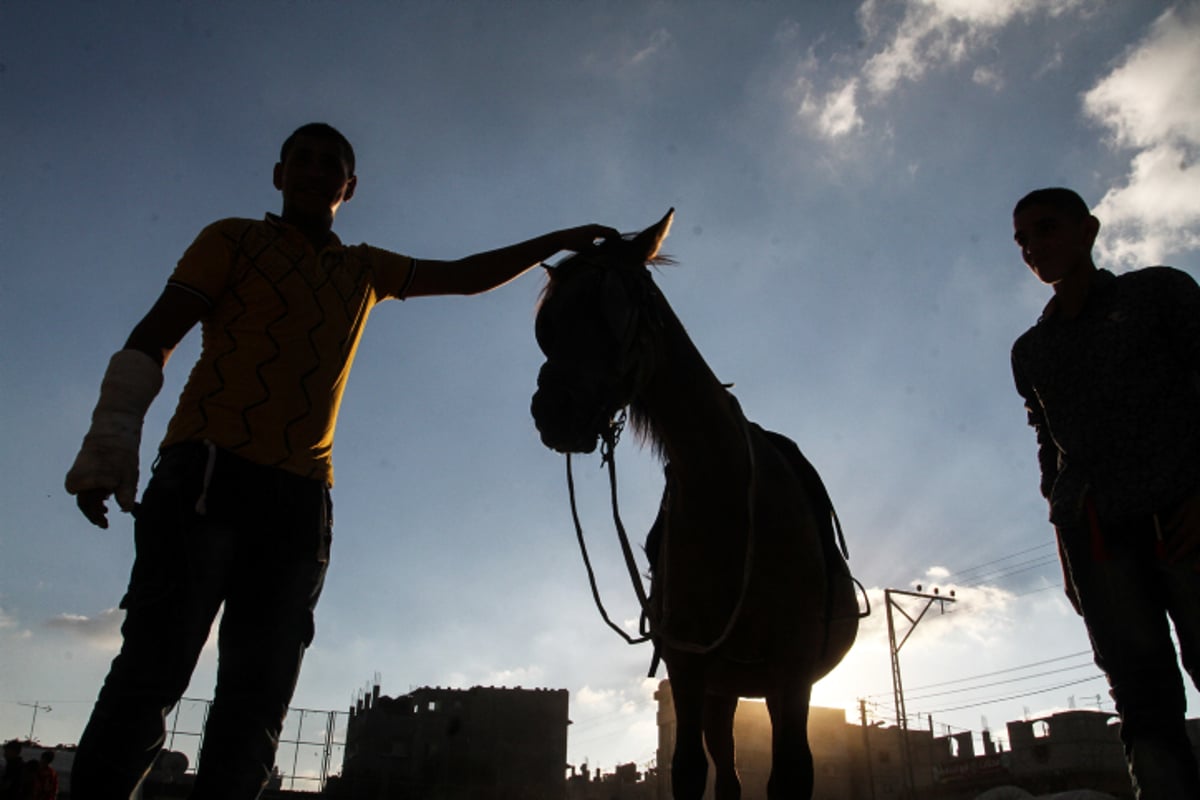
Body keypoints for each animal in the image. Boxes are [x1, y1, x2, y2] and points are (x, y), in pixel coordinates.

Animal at [530, 209, 859, 796]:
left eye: (612, 306)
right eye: (547, 322)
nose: (554, 411)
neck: (724, 492)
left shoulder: (793, 669)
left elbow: (791, 774)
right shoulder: (687, 667)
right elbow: (686, 770)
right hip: (722, 688)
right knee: (724, 771)